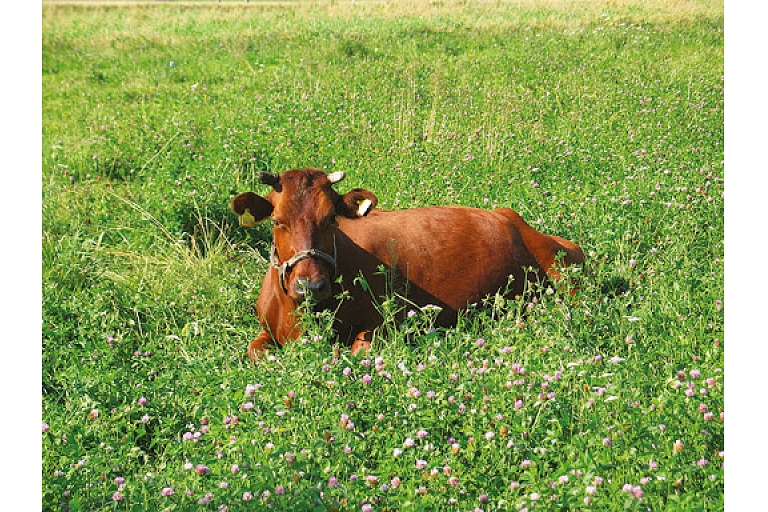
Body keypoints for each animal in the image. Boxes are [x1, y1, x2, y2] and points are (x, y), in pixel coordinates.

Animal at [231, 168, 584, 360]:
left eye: (331, 218)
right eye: (277, 221)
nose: (311, 285)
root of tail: (511, 216)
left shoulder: (387, 323)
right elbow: (254, 350)